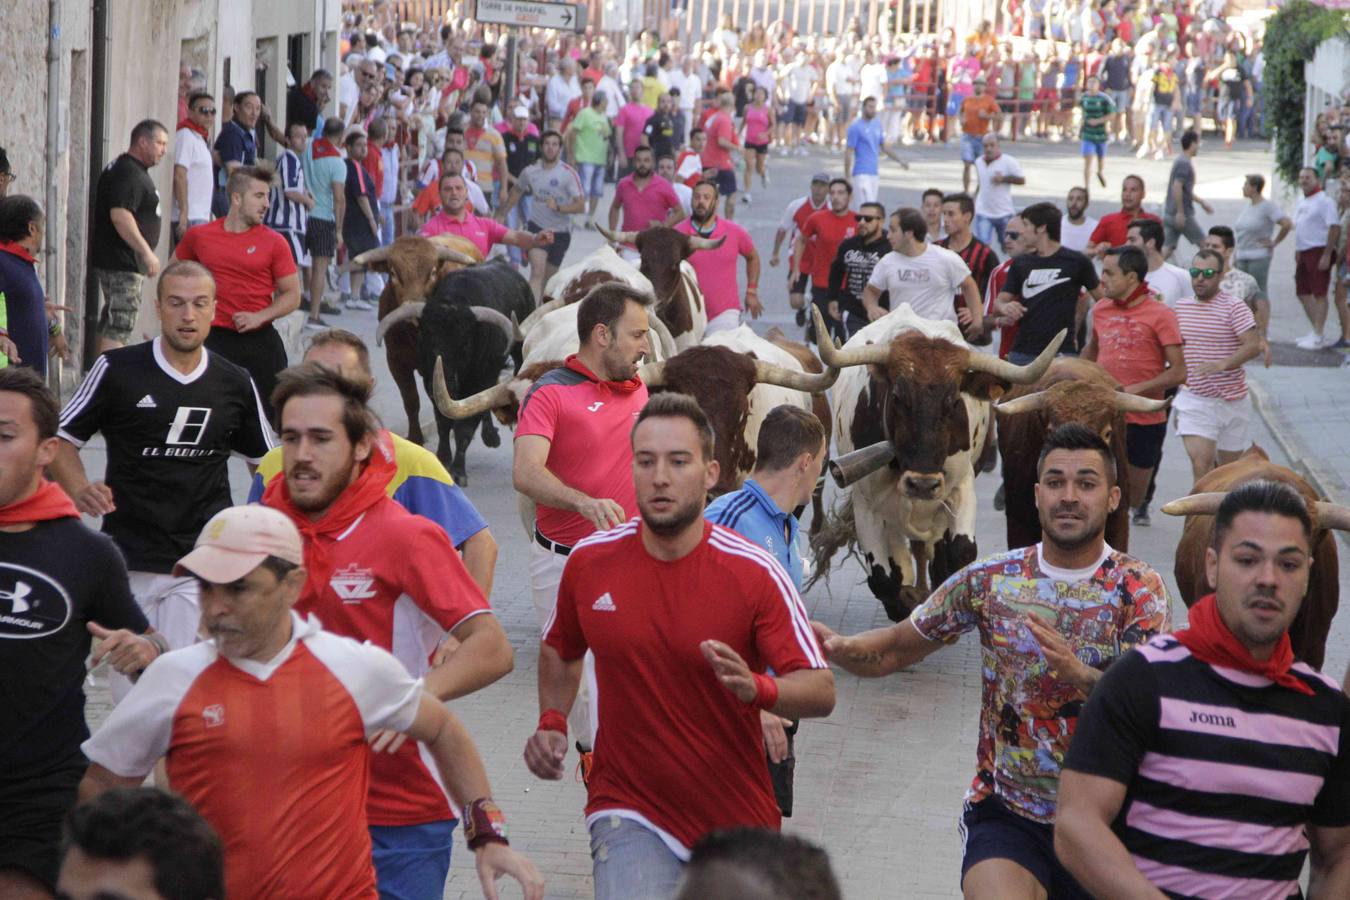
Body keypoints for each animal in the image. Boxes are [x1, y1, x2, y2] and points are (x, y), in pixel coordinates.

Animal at [345, 232, 483, 442]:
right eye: (393, 273)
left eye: (432, 272)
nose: (411, 309)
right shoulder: (396, 361)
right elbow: (411, 400)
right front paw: (416, 437)